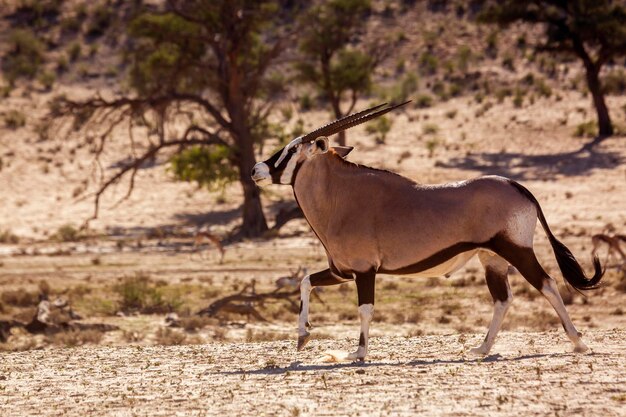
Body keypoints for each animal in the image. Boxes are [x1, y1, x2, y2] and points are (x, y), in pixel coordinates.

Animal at [251, 101, 604, 360]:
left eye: (291, 150)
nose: (257, 170)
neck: (340, 197)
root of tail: (519, 187)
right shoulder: (341, 272)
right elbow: (305, 282)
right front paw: (303, 336)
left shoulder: (364, 271)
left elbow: (365, 308)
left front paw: (359, 353)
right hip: (491, 258)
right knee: (503, 299)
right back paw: (482, 348)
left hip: (516, 250)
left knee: (547, 284)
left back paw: (579, 343)